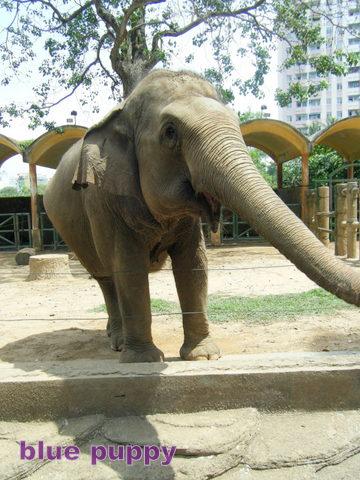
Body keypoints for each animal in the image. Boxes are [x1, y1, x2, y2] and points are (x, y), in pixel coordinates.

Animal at [45, 69, 360, 364]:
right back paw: (119, 342)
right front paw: (144, 361)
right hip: (75, 233)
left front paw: (202, 356)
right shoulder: (107, 201)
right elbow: (128, 266)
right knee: (106, 277)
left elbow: (194, 264)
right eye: (170, 132)